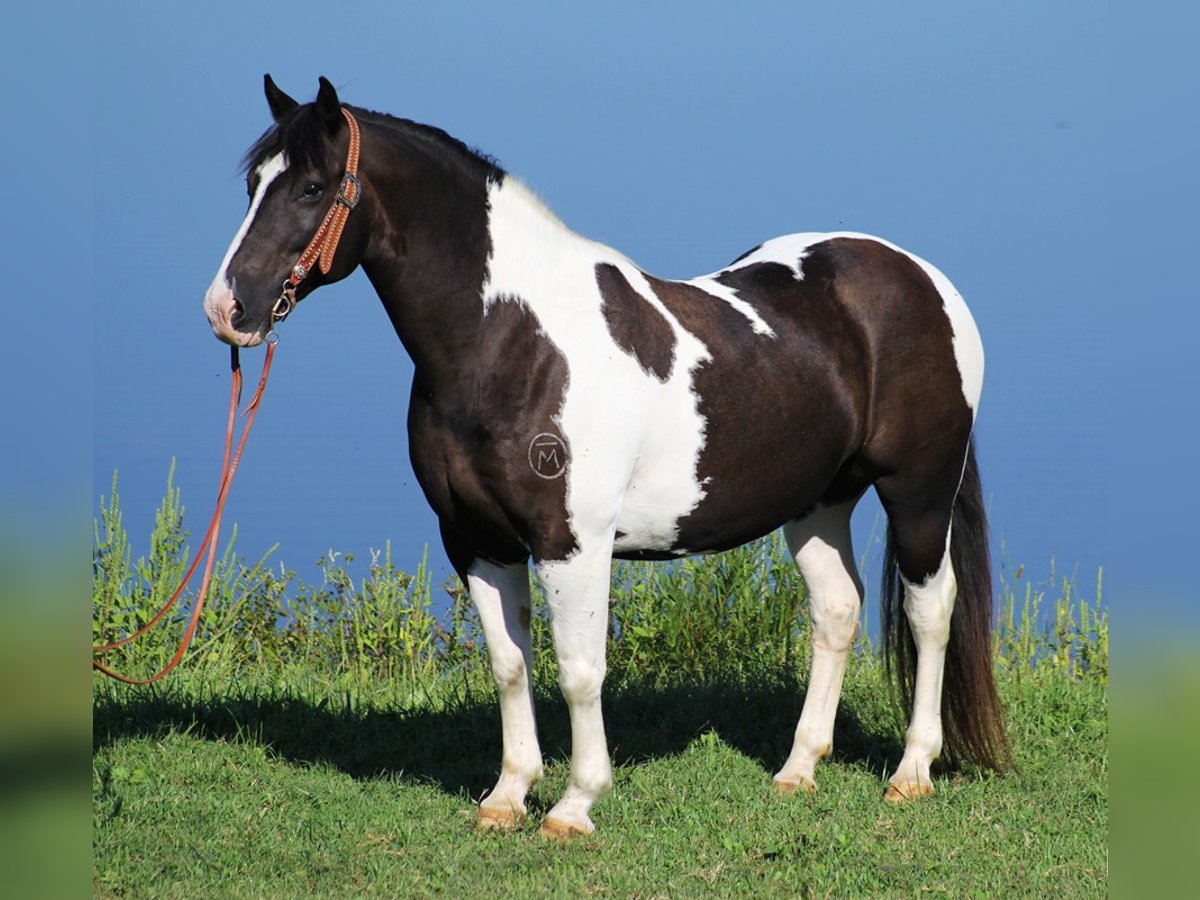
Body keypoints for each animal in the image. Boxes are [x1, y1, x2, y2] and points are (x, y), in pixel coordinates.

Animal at [201, 75, 1008, 840]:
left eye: (311, 187)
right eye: (252, 184)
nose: (226, 309)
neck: (510, 343)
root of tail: (919, 276)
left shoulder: (572, 543)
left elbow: (580, 672)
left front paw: (575, 805)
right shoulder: (476, 540)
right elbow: (509, 665)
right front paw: (507, 797)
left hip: (919, 492)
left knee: (930, 610)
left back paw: (911, 772)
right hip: (817, 501)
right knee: (837, 609)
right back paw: (797, 770)